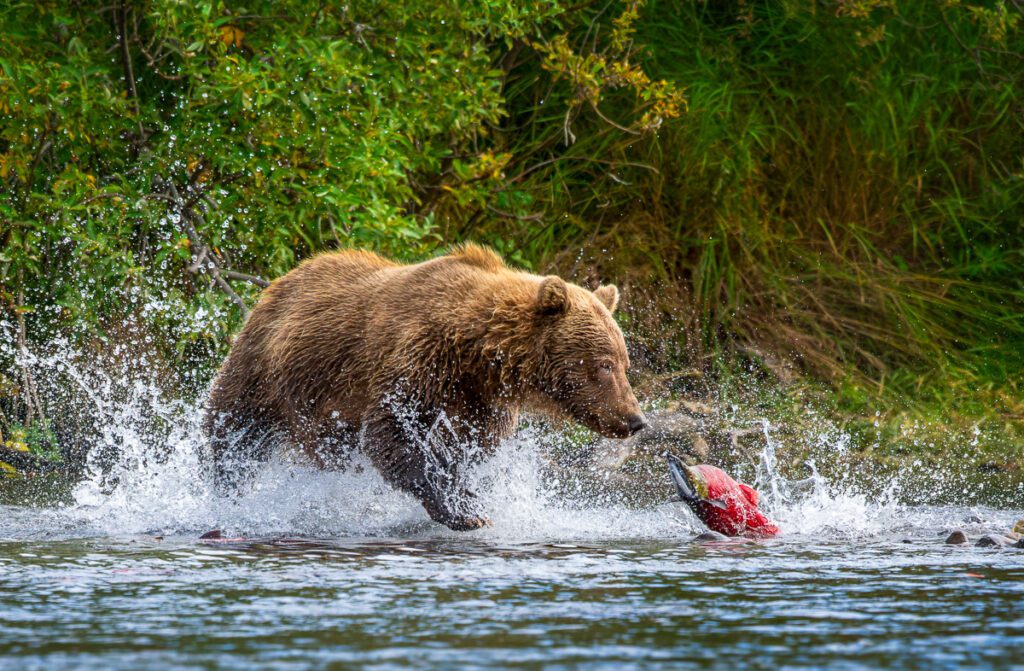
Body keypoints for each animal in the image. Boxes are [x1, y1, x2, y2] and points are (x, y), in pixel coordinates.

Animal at [203, 244, 647, 530]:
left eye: (625, 363)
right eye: (605, 365)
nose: (636, 419)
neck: (479, 354)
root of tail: (279, 281)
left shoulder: (480, 402)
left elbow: (470, 448)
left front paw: (465, 491)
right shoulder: (420, 360)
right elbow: (393, 433)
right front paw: (465, 509)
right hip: (264, 370)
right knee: (232, 433)